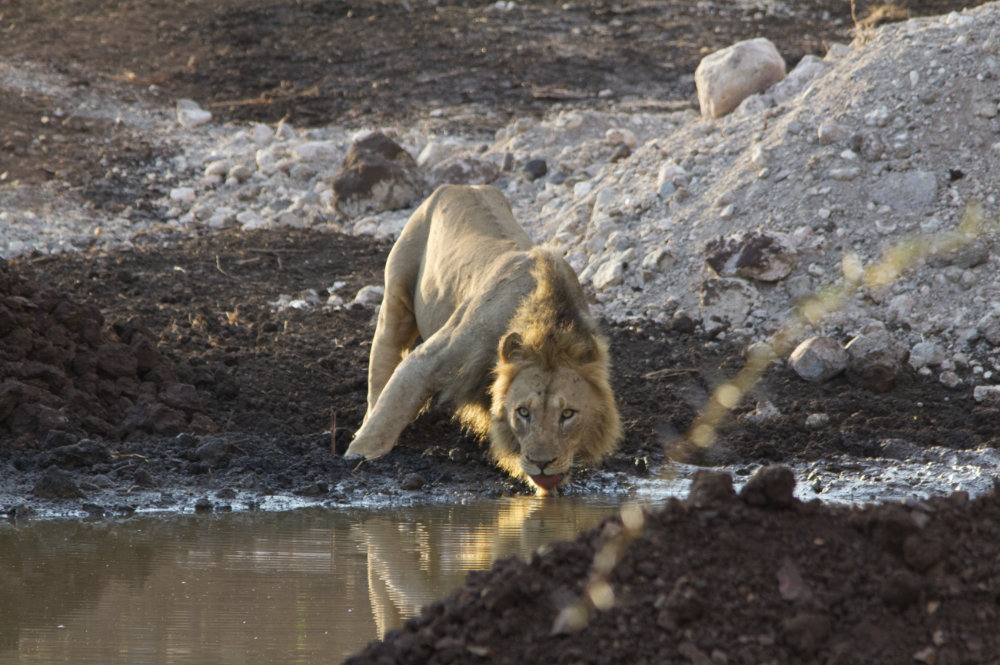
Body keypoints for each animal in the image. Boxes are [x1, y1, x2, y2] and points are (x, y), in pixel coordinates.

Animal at [344, 184, 622, 494]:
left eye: (568, 414)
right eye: (522, 412)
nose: (542, 463)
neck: (546, 331)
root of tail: (462, 185)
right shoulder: (430, 360)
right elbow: (389, 413)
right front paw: (358, 455)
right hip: (397, 294)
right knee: (383, 366)